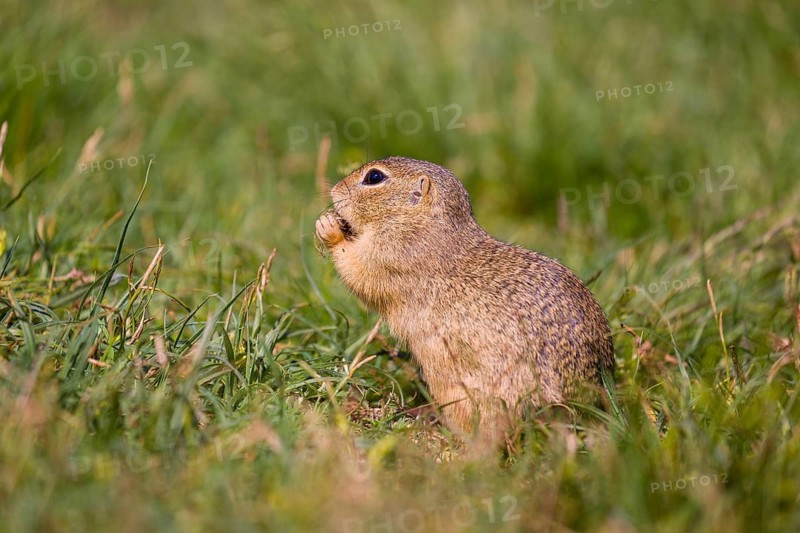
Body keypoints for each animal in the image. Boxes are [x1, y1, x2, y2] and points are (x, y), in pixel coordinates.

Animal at [315, 156, 614, 446]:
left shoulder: (392, 254)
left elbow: (359, 269)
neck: (420, 222)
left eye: (374, 177)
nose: (334, 189)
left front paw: (328, 227)